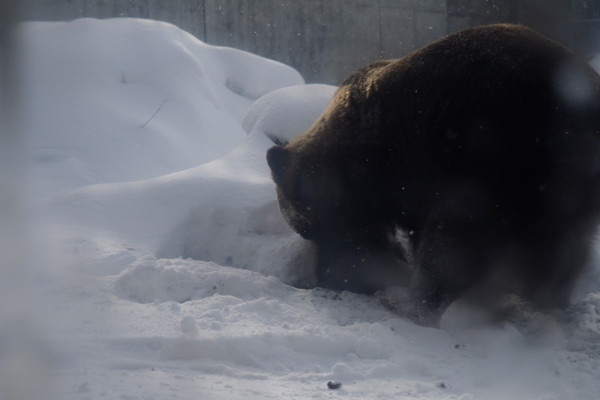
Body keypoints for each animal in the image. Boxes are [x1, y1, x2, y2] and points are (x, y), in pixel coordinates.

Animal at [268, 24, 600, 324]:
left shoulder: (400, 170)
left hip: (493, 157)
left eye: (305, 227)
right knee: (564, 250)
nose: (322, 275)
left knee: (453, 239)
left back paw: (406, 301)